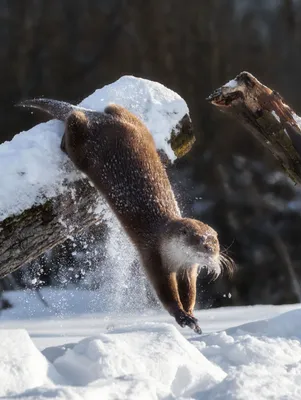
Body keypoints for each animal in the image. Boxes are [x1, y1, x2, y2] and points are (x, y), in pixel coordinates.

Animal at [18, 98, 231, 332]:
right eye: (199, 240)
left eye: (215, 241)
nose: (212, 251)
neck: (172, 254)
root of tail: (96, 117)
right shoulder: (152, 254)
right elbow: (165, 292)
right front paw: (182, 316)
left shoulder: (188, 267)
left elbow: (189, 291)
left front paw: (191, 314)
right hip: (83, 148)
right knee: (73, 125)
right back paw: (68, 135)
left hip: (129, 120)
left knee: (110, 109)